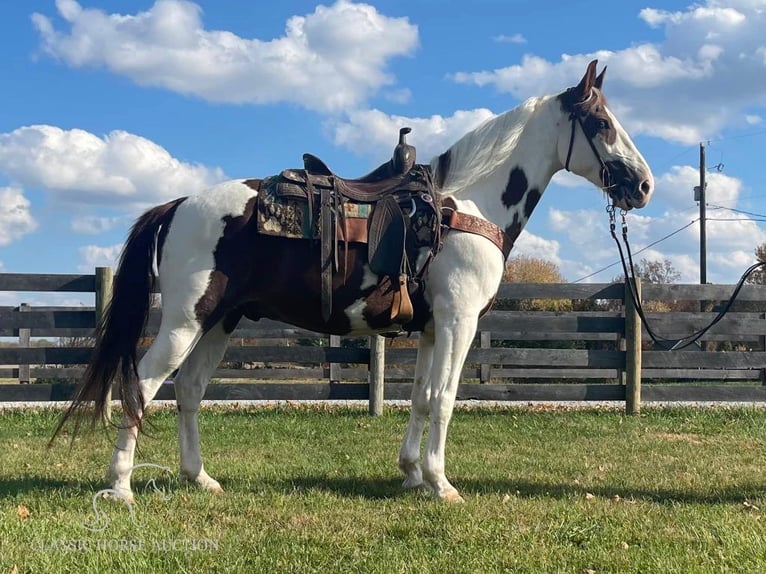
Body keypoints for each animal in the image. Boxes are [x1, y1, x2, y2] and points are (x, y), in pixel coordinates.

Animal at [55, 60, 656, 504]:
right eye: (602, 124)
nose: (645, 184)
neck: (465, 209)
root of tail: (178, 204)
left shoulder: (433, 329)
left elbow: (420, 399)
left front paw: (412, 473)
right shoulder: (458, 323)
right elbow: (444, 398)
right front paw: (442, 485)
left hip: (220, 323)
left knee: (188, 391)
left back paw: (199, 478)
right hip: (186, 320)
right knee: (142, 384)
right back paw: (120, 487)